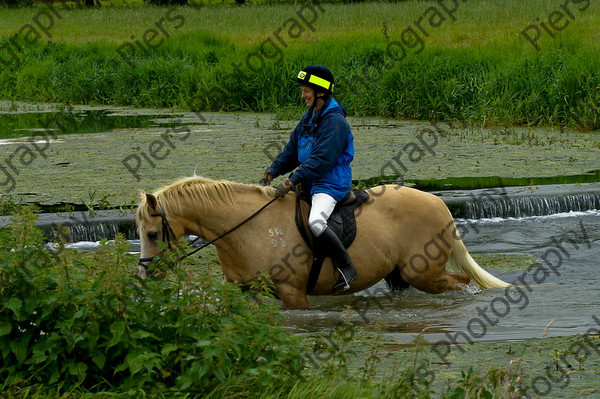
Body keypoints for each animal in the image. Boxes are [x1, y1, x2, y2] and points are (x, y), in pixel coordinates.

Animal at [134, 175, 508, 310]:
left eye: (151, 234)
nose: (144, 276)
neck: (249, 228)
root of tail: (438, 203)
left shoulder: (292, 293)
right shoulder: (241, 290)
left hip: (425, 274)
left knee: (460, 282)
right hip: (401, 275)